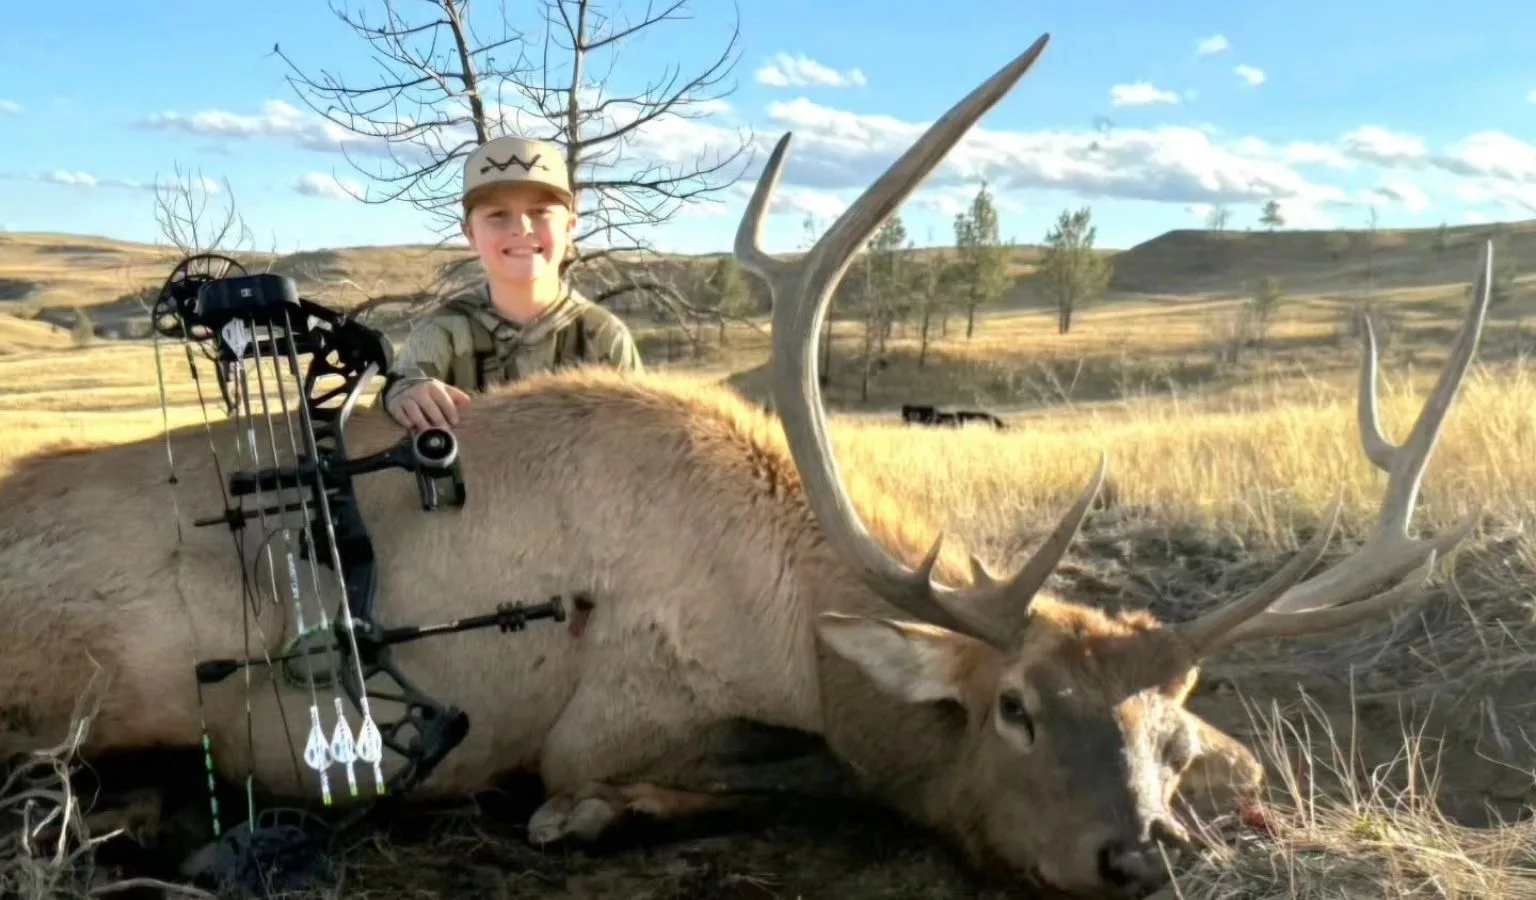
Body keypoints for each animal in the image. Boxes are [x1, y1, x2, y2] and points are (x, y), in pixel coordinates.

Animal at [0, 32, 1492, 899]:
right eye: (1013, 707)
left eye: (1168, 730)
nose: (1139, 855)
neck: (784, 616)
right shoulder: (614, 719)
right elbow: (761, 777)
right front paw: (575, 825)